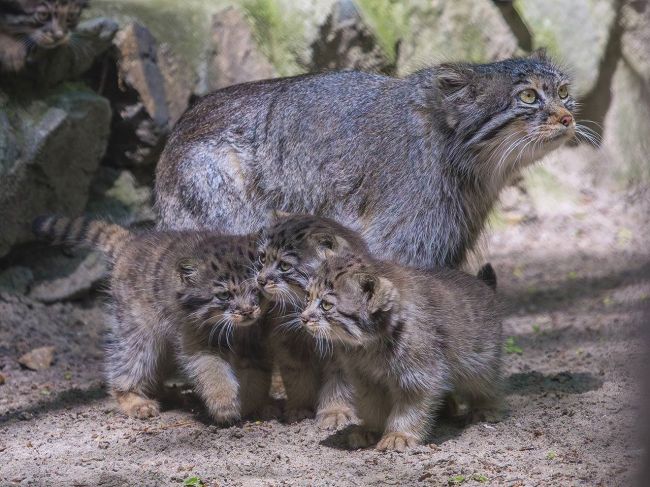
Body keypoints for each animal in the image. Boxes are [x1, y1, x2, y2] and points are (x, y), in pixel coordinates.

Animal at [32, 215, 270, 426]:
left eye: (256, 289)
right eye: (224, 295)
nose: (248, 311)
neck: (236, 328)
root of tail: (130, 242)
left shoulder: (254, 343)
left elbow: (256, 375)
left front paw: (251, 404)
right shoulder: (194, 336)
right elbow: (211, 369)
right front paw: (224, 405)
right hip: (138, 330)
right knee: (129, 363)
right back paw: (133, 399)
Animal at [256, 214, 372, 428]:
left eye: (285, 266)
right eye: (262, 258)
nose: (260, 280)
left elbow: (340, 381)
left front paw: (335, 411)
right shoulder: (289, 344)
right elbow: (298, 379)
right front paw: (299, 408)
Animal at [300, 254, 502, 452]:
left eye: (326, 305)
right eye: (307, 297)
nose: (303, 318)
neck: (369, 346)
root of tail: (483, 284)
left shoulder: (418, 376)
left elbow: (410, 408)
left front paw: (399, 435)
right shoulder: (364, 377)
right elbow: (371, 404)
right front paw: (371, 428)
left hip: (480, 362)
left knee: (487, 385)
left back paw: (486, 408)